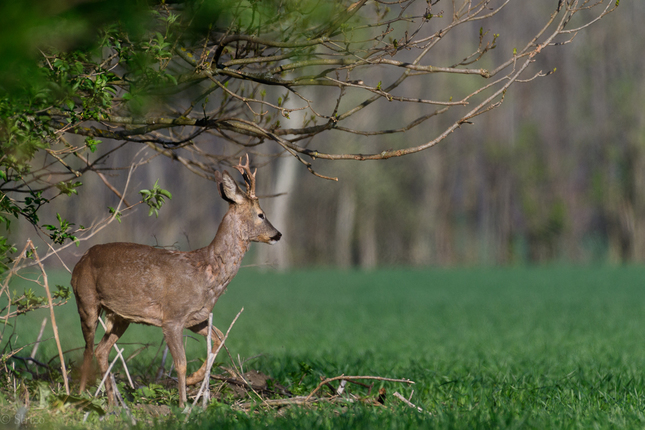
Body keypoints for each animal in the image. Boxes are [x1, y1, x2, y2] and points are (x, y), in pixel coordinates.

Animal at [71, 155, 280, 406]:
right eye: (261, 214)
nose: (278, 234)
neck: (207, 272)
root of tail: (80, 262)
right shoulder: (172, 317)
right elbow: (180, 363)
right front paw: (183, 404)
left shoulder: (197, 317)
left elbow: (220, 339)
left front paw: (194, 380)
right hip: (86, 300)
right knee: (87, 350)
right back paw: (80, 395)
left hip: (121, 316)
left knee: (102, 351)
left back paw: (113, 403)